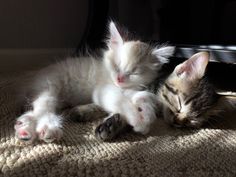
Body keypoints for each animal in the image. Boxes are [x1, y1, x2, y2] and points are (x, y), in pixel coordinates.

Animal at [14, 21, 173, 142]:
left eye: (134, 72)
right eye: (116, 66)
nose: (120, 78)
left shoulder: (131, 88)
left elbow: (140, 96)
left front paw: (146, 113)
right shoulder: (102, 90)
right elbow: (121, 101)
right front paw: (138, 120)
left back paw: (26, 128)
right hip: (49, 86)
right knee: (43, 108)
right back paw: (43, 129)